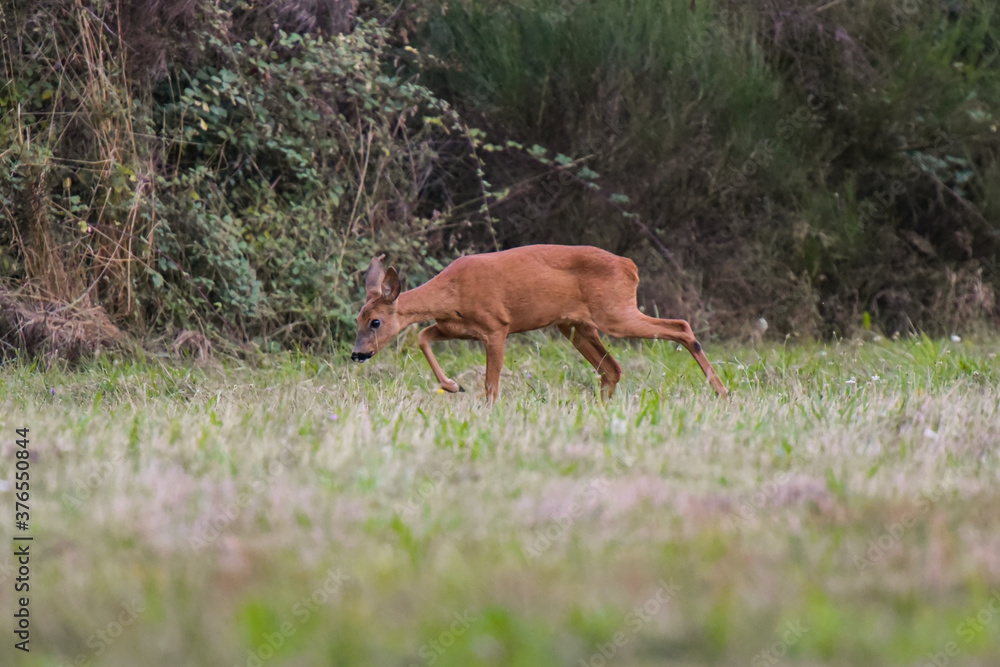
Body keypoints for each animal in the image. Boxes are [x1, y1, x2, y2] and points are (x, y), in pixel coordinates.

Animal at [351, 245, 728, 403]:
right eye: (358, 318)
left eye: (375, 321)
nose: (357, 354)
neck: (453, 292)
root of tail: (630, 267)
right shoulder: (455, 327)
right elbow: (423, 336)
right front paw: (453, 386)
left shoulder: (496, 326)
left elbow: (491, 383)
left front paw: (485, 409)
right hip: (576, 325)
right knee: (613, 369)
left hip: (615, 312)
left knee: (680, 326)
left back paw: (721, 390)